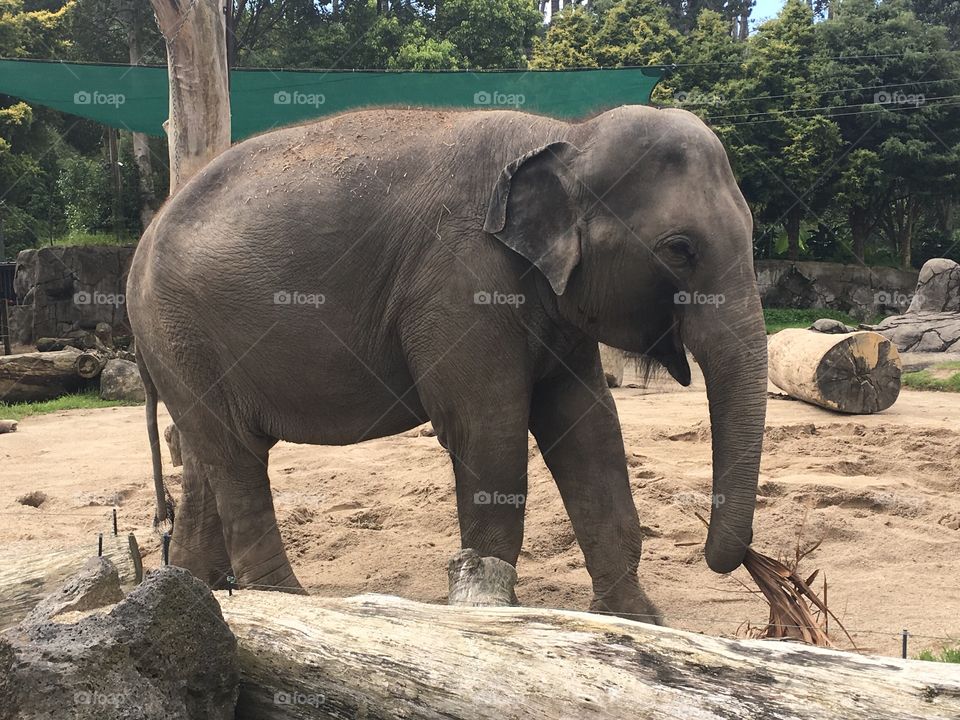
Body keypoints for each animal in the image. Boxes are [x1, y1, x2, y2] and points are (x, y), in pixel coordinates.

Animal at [126, 105, 767, 621]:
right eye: (680, 249)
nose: (734, 561)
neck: (565, 136)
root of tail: (142, 243)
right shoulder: (461, 281)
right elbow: (487, 431)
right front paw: (492, 609)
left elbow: (589, 428)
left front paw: (635, 621)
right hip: (183, 330)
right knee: (237, 456)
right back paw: (290, 603)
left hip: (179, 344)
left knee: (206, 457)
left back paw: (190, 590)